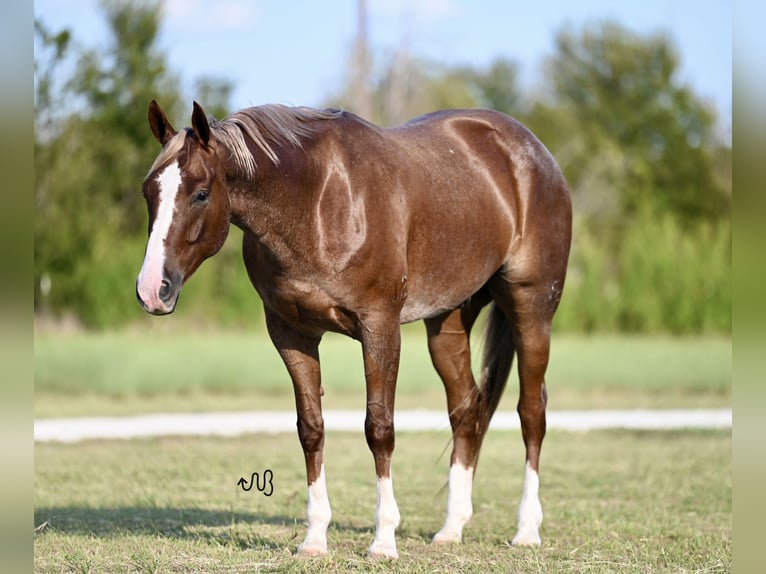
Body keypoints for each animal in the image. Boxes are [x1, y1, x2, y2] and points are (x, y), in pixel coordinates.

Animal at [136, 99, 568, 560]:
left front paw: (383, 540)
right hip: (448, 323)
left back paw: (527, 529)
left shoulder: (379, 328)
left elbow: (379, 429)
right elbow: (311, 429)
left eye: (200, 193)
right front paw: (314, 538)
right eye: (149, 192)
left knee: (531, 412)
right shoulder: (290, 335)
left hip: (532, 311)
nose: (151, 289)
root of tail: (532, 151)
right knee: (467, 410)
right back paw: (452, 527)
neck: (316, 203)